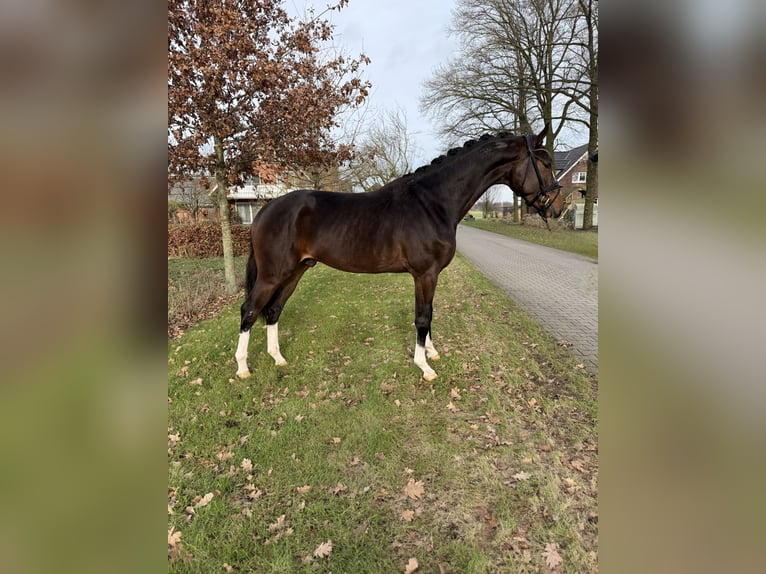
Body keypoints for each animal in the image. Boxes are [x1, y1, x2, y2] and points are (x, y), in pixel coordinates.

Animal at [235, 124, 563, 381]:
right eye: (546, 164)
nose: (558, 208)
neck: (433, 202)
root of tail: (265, 210)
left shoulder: (430, 276)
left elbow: (430, 314)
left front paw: (432, 352)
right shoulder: (425, 274)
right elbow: (423, 318)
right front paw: (425, 366)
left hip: (297, 270)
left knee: (273, 310)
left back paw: (278, 359)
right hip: (273, 273)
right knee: (250, 309)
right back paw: (242, 368)